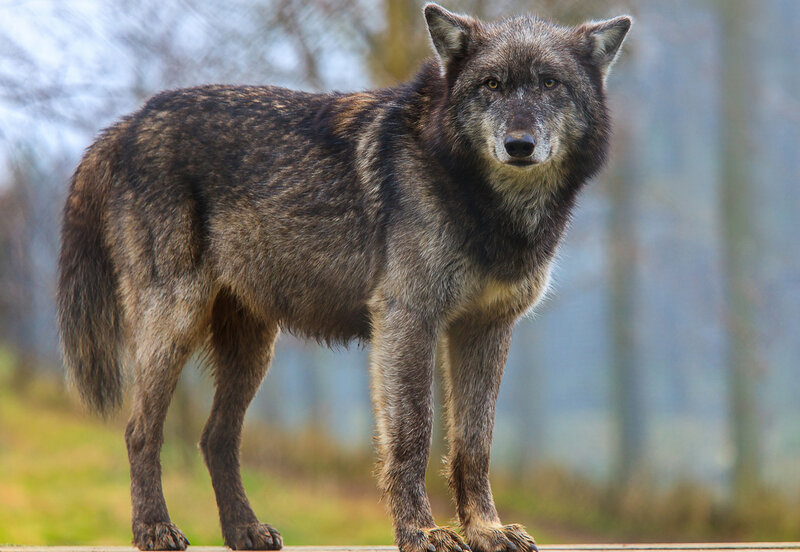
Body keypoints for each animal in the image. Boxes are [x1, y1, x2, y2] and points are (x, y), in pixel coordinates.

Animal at [57, 3, 630, 551]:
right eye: (492, 85)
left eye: (550, 84)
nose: (519, 144)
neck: (485, 200)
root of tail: (129, 122)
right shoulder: (406, 320)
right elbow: (413, 436)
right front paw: (421, 533)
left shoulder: (486, 329)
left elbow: (475, 445)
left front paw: (486, 531)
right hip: (175, 323)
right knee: (140, 431)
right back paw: (154, 529)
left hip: (252, 349)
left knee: (215, 438)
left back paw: (245, 530)